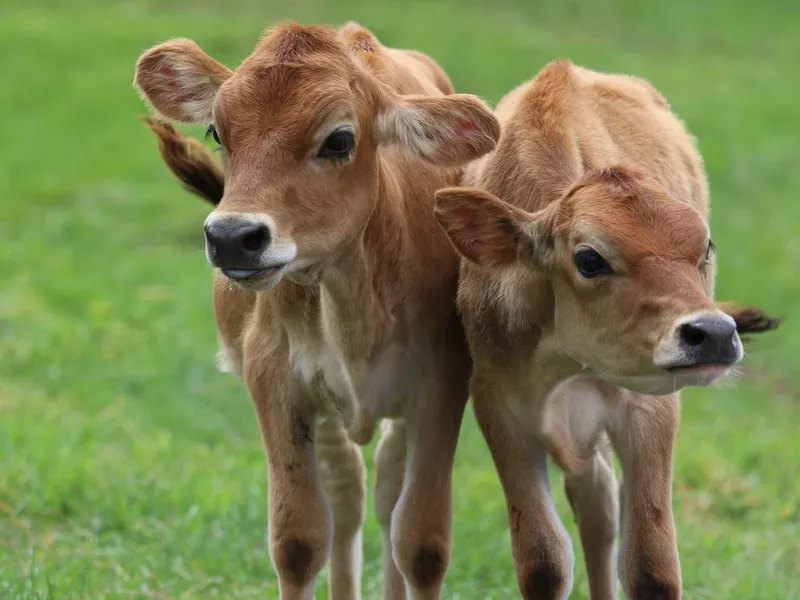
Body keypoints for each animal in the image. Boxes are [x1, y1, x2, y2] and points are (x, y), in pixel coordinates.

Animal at [137, 22, 500, 600]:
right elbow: (299, 540)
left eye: (339, 140)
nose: (232, 236)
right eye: (217, 131)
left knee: (386, 493)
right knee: (348, 496)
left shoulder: (442, 382)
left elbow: (421, 543)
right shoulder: (275, 378)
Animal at [434, 62, 780, 600]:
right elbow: (543, 560)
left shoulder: (652, 407)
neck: (563, 361)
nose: (713, 333)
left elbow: (651, 567)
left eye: (705, 246)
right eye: (590, 259)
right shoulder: (497, 403)